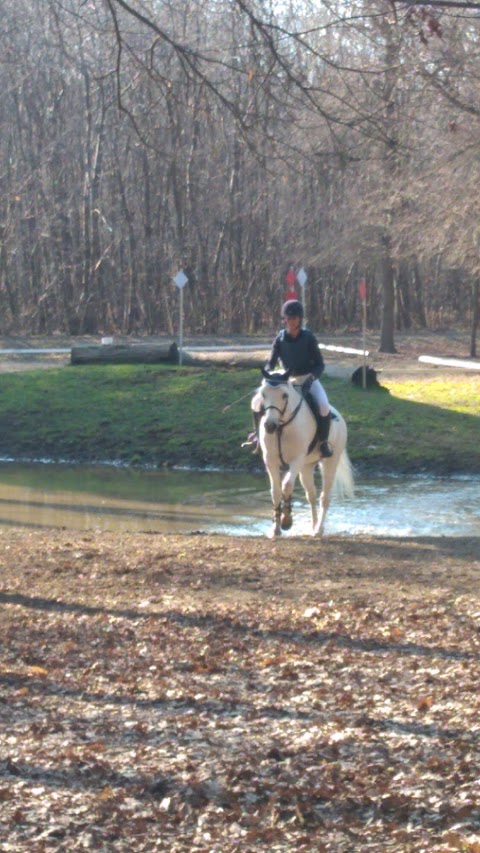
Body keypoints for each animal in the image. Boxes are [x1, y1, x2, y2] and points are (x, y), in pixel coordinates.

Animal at [253, 364, 354, 536]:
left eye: (285, 395)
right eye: (263, 394)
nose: (270, 426)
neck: (282, 427)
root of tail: (339, 417)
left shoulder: (296, 460)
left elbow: (286, 485)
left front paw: (287, 520)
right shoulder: (271, 461)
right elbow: (276, 491)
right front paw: (276, 528)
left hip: (329, 462)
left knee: (324, 497)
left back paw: (319, 530)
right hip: (307, 467)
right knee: (311, 495)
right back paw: (313, 526)